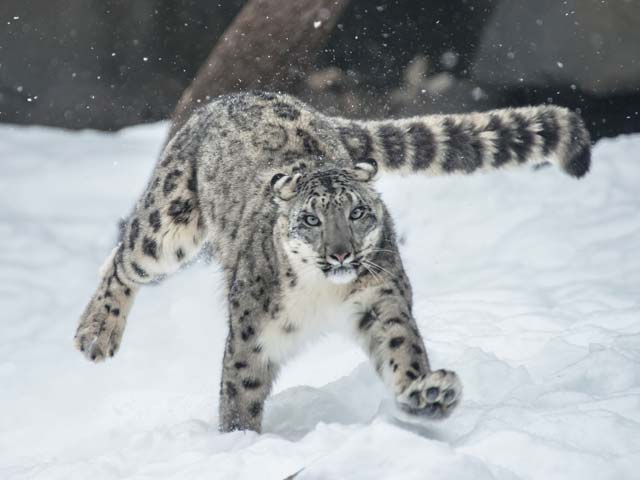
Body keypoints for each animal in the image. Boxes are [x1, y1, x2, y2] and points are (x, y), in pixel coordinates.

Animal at [74, 90, 592, 432]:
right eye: (310, 219)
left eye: (357, 212)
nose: (340, 252)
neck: (322, 294)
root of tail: (232, 96)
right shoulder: (251, 333)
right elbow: (240, 389)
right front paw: (239, 444)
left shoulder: (382, 299)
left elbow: (401, 347)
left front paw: (426, 394)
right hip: (167, 224)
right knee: (124, 257)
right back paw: (95, 333)